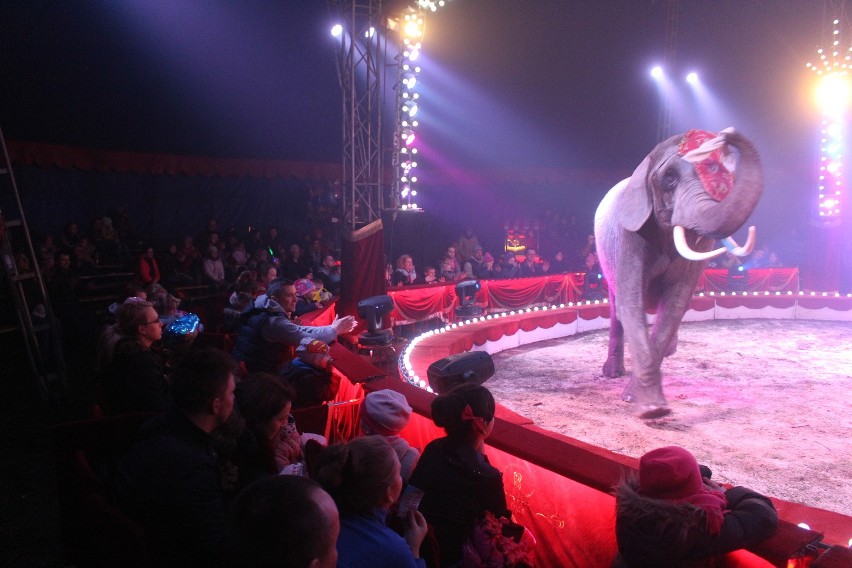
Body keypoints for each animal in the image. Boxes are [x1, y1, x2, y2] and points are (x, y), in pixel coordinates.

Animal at [592, 131, 764, 420]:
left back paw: (670, 351)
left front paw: (644, 401)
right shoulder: (630, 231)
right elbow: (631, 300)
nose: (726, 134)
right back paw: (612, 373)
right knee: (616, 305)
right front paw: (651, 408)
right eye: (670, 177)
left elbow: (675, 304)